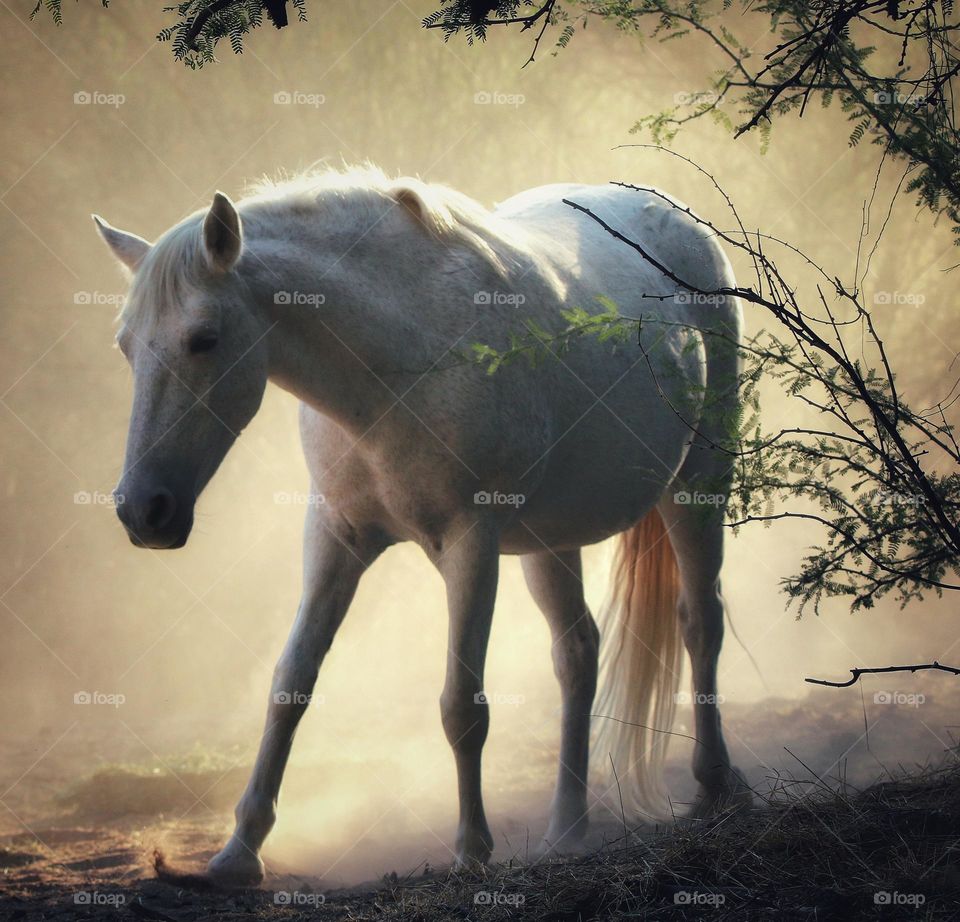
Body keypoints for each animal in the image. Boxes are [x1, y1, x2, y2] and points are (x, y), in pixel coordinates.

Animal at [93, 166, 750, 887]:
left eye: (204, 338)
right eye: (126, 346)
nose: (142, 512)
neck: (398, 366)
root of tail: (672, 215)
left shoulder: (470, 544)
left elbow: (462, 705)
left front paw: (472, 851)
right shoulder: (335, 537)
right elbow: (290, 684)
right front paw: (239, 851)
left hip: (698, 485)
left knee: (700, 620)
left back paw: (715, 784)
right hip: (549, 541)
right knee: (578, 653)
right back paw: (567, 828)